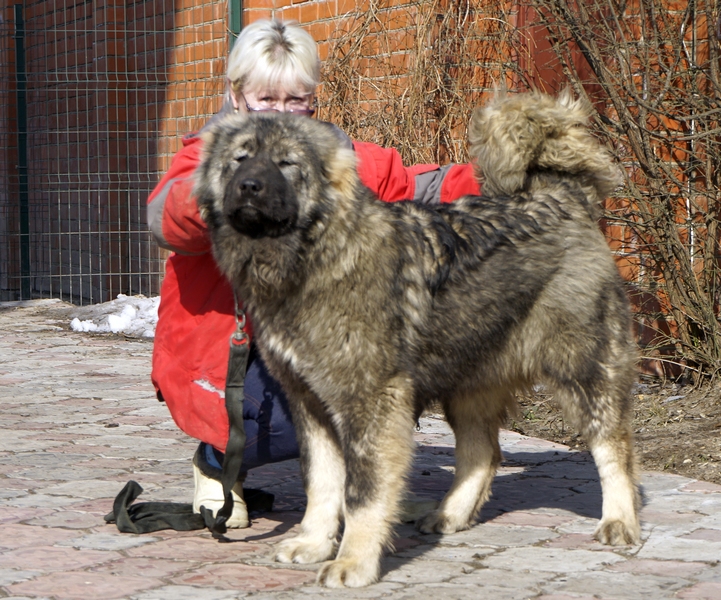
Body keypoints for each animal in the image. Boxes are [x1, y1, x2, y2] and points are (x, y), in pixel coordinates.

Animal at [194, 92, 640, 584]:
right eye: (240, 159)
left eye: (286, 163)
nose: (250, 186)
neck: (316, 254)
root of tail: (560, 195)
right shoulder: (309, 404)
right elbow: (323, 485)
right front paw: (313, 542)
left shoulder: (371, 402)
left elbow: (362, 493)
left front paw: (353, 560)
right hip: (468, 378)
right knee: (483, 453)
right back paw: (450, 514)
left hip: (582, 367)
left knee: (612, 445)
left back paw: (619, 521)